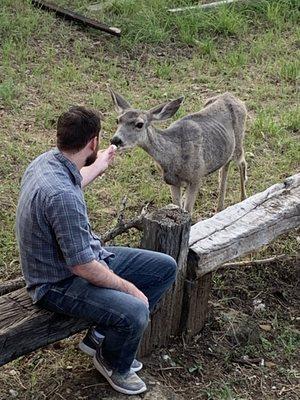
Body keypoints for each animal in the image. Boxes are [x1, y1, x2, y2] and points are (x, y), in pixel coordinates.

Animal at [109, 89, 247, 214]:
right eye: (118, 120)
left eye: (139, 124)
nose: (115, 139)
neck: (174, 157)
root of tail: (232, 96)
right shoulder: (172, 182)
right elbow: (177, 206)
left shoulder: (196, 176)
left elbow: (188, 211)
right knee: (225, 166)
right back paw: (219, 208)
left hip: (239, 138)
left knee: (242, 162)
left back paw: (243, 198)